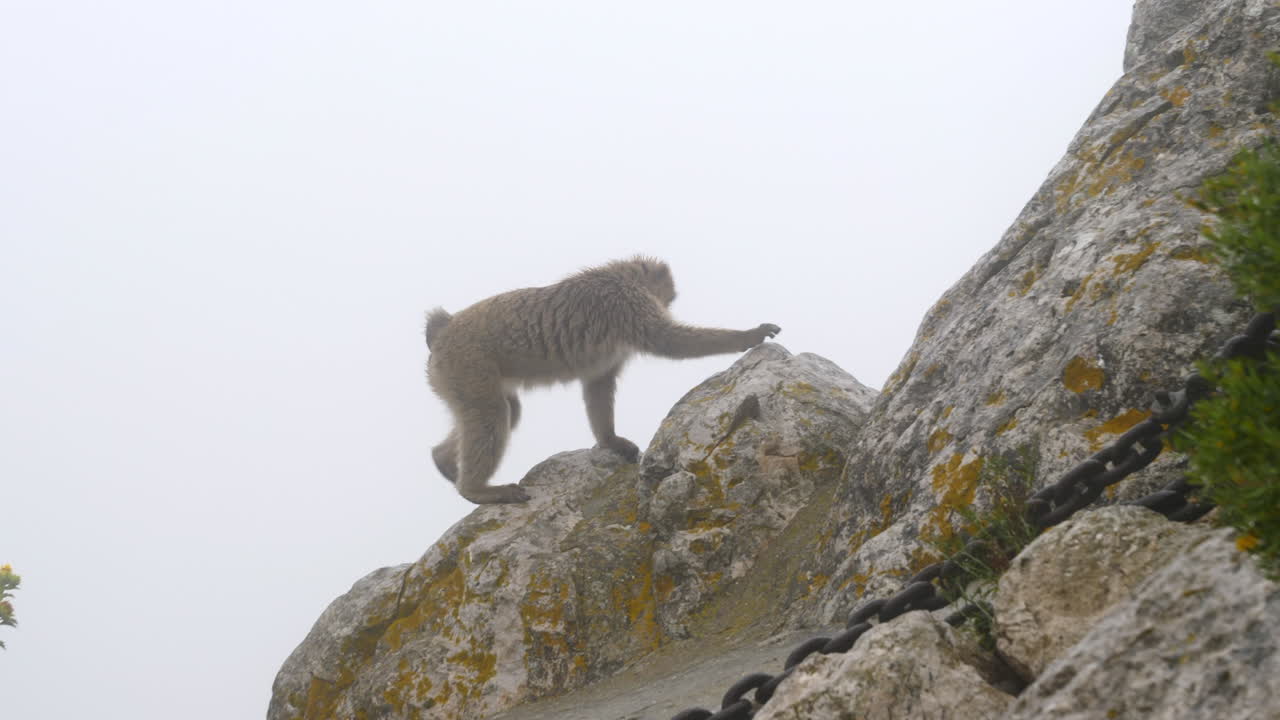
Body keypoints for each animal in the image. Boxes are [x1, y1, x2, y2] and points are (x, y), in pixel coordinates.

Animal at [425, 256, 781, 504]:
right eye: (667, 295)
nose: (666, 303)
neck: (620, 274)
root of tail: (442, 332)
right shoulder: (628, 303)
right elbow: (669, 341)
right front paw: (749, 335)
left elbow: (598, 383)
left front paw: (609, 440)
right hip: (465, 365)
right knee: (492, 413)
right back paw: (476, 490)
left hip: (456, 375)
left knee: (505, 412)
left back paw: (443, 461)